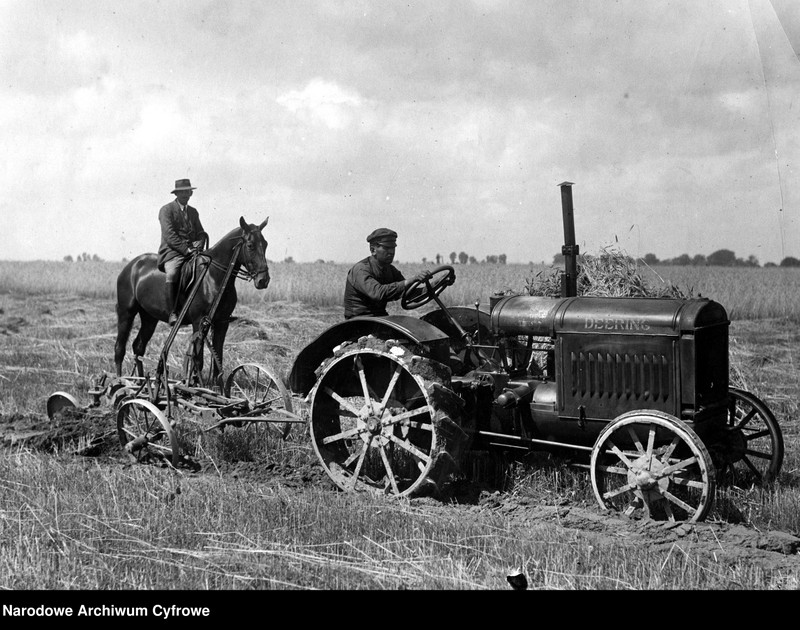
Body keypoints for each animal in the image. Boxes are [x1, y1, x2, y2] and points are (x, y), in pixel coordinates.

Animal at [114, 217, 272, 386]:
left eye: (265, 244)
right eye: (250, 245)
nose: (263, 280)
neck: (213, 277)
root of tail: (132, 265)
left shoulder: (222, 323)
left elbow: (218, 360)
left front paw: (219, 389)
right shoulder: (199, 322)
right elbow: (198, 360)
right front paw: (196, 385)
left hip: (149, 318)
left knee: (139, 347)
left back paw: (140, 381)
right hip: (126, 313)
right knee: (119, 349)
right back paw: (119, 382)